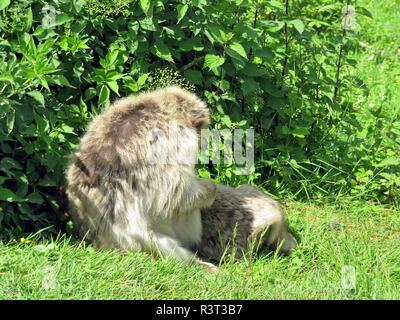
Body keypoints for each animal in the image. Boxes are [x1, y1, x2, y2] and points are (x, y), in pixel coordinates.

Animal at [67, 86, 219, 272]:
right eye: (198, 129)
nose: (200, 139)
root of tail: (103, 243)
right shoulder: (178, 138)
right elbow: (173, 197)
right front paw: (211, 187)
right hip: (144, 242)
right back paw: (196, 263)